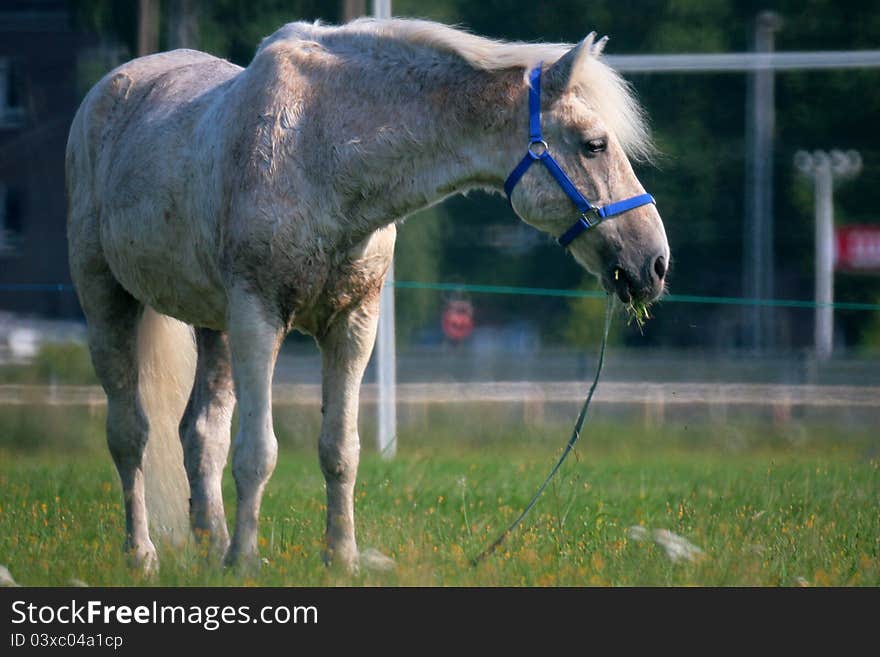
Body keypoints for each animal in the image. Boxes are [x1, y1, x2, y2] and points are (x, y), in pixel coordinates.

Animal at [65, 18, 668, 572]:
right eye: (594, 145)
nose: (654, 262)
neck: (318, 145)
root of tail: (109, 89)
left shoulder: (354, 323)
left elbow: (340, 451)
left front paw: (341, 559)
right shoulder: (259, 317)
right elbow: (258, 452)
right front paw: (247, 563)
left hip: (215, 328)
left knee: (200, 435)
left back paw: (212, 550)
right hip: (109, 302)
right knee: (130, 435)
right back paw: (144, 555)